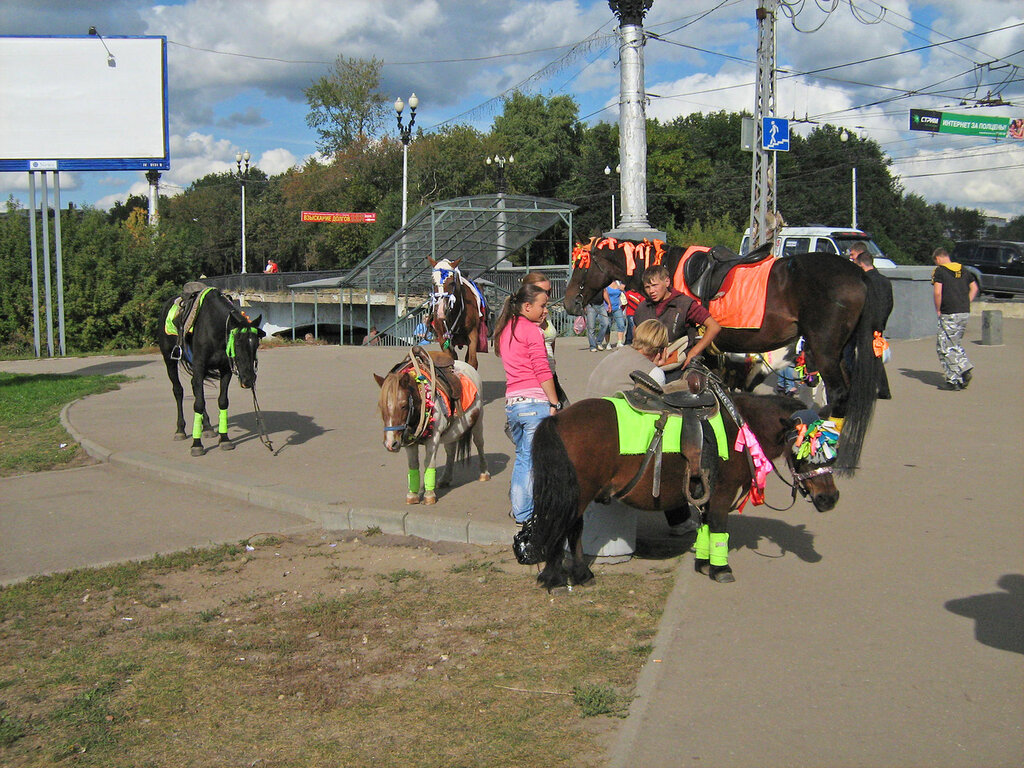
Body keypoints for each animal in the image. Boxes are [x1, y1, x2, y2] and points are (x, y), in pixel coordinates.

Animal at [156, 288, 264, 456]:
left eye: (256, 344)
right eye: (237, 343)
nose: (249, 380)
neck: (214, 329)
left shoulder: (225, 369)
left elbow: (222, 401)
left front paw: (224, 439)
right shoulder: (199, 366)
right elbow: (198, 404)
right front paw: (196, 444)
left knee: (195, 389)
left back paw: (206, 427)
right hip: (169, 360)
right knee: (178, 391)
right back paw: (180, 430)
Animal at [374, 348, 489, 505]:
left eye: (403, 405)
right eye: (381, 406)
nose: (391, 444)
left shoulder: (433, 438)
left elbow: (429, 463)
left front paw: (429, 495)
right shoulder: (409, 442)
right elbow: (413, 464)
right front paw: (413, 495)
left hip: (478, 422)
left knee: (479, 443)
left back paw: (484, 473)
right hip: (453, 430)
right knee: (451, 451)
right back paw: (445, 479)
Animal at [516, 393, 843, 593]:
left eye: (833, 448)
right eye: (807, 451)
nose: (829, 499)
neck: (740, 425)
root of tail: (558, 419)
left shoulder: (707, 495)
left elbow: (707, 527)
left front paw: (703, 562)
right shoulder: (722, 494)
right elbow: (720, 528)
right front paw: (721, 569)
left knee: (572, 529)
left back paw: (581, 574)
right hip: (578, 493)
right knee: (565, 529)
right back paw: (559, 578)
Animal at [561, 237, 880, 473]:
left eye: (581, 266)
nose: (568, 303)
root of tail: (859, 274)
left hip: (825, 350)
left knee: (838, 395)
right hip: (839, 352)